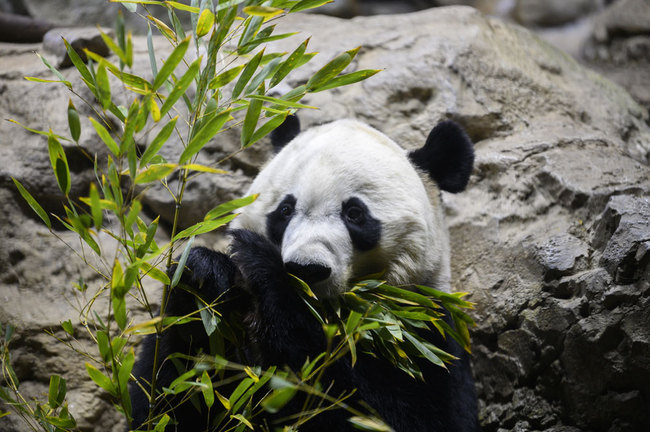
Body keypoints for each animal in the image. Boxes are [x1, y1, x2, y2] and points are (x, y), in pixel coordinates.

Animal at [129, 116, 478, 430]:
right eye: (285, 210)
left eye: (355, 213)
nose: (306, 270)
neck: (326, 314)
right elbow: (168, 399)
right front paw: (204, 275)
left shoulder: (422, 334)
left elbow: (388, 413)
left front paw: (263, 267)